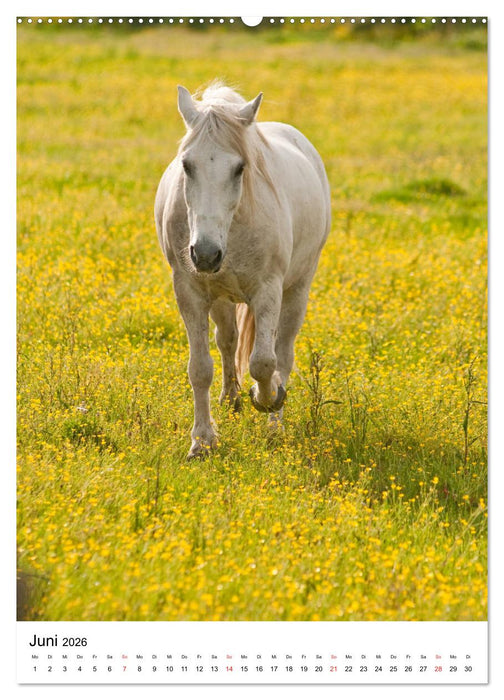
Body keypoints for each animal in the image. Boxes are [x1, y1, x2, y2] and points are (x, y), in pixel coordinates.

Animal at [155, 83, 331, 459]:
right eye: (186, 165)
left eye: (239, 168)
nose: (206, 254)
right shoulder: (190, 291)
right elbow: (200, 369)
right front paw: (202, 442)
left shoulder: (268, 290)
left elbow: (263, 362)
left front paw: (267, 399)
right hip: (221, 296)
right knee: (228, 341)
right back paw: (231, 398)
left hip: (298, 290)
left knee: (283, 354)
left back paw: (275, 424)